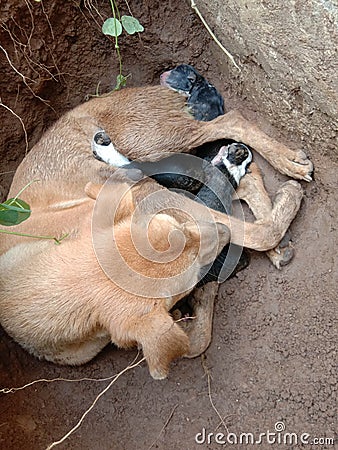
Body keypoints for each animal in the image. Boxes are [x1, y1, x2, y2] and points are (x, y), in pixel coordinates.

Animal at [0, 86, 312, 378]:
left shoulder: (150, 198)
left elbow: (256, 231)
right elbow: (195, 341)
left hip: (156, 142)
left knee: (230, 123)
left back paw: (286, 162)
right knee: (237, 175)